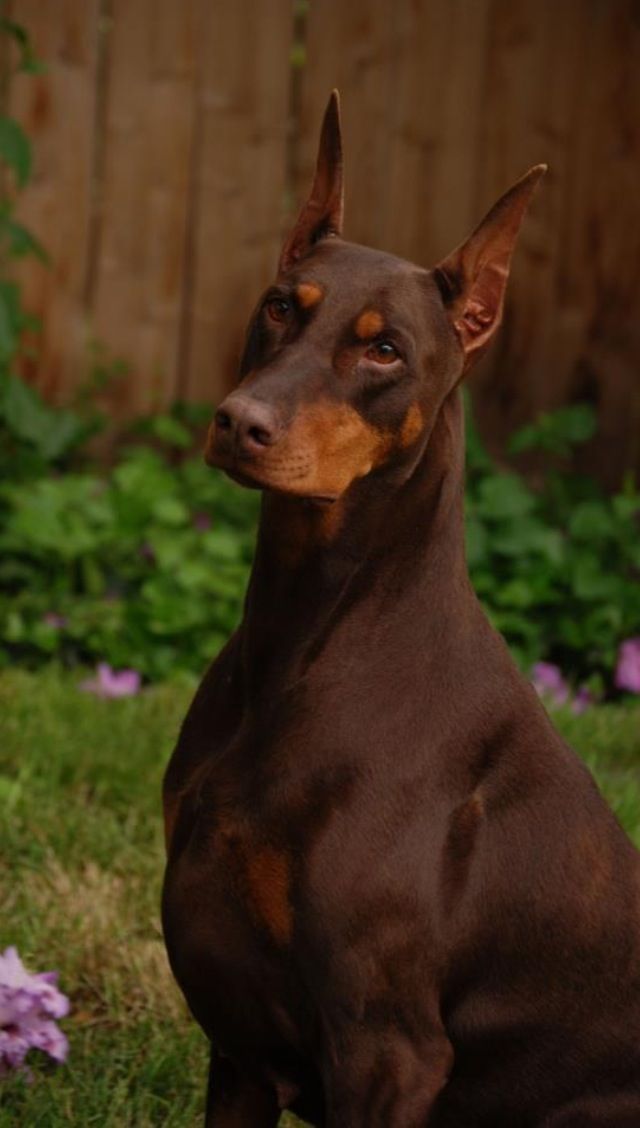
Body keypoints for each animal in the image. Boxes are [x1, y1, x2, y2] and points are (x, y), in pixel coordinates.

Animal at [161, 92, 640, 1123]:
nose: (240, 422)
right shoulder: (240, 1051)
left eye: (384, 349)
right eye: (279, 306)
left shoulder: (388, 1048)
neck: (307, 635)